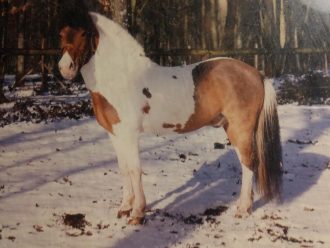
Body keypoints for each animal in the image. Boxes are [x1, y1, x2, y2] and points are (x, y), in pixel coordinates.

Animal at [58, 9, 282, 225]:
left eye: (84, 33)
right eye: (61, 34)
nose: (64, 68)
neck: (122, 78)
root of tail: (257, 74)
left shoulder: (129, 134)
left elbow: (135, 170)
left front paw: (137, 213)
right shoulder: (115, 134)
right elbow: (123, 168)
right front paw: (124, 208)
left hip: (240, 129)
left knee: (248, 164)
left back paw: (243, 209)